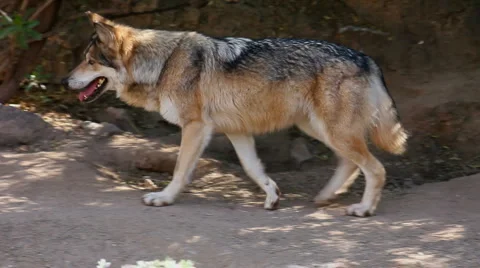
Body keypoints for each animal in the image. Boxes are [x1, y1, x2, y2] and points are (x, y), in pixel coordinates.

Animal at [62, 11, 408, 218]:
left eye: (90, 61)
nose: (65, 80)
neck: (163, 63)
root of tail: (366, 58)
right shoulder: (236, 131)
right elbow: (254, 170)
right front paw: (273, 197)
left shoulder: (195, 127)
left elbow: (179, 170)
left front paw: (164, 198)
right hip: (318, 129)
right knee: (350, 163)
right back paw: (325, 196)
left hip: (332, 131)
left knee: (375, 168)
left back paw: (363, 208)